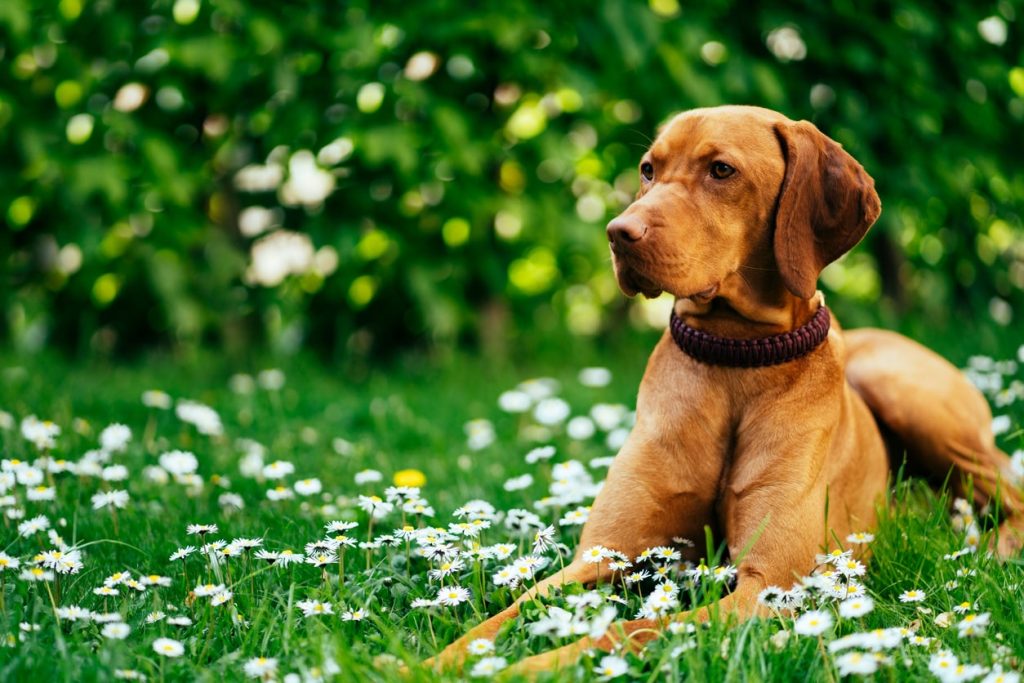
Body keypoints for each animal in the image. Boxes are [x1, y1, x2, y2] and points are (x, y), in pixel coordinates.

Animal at [425, 105, 1024, 671]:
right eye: (648, 169)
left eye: (721, 170)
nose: (618, 232)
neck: (734, 358)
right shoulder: (600, 557)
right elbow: (507, 612)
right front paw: (437, 663)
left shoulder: (769, 584)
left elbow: (626, 630)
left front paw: (527, 667)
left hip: (905, 394)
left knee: (1009, 493)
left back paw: (996, 551)